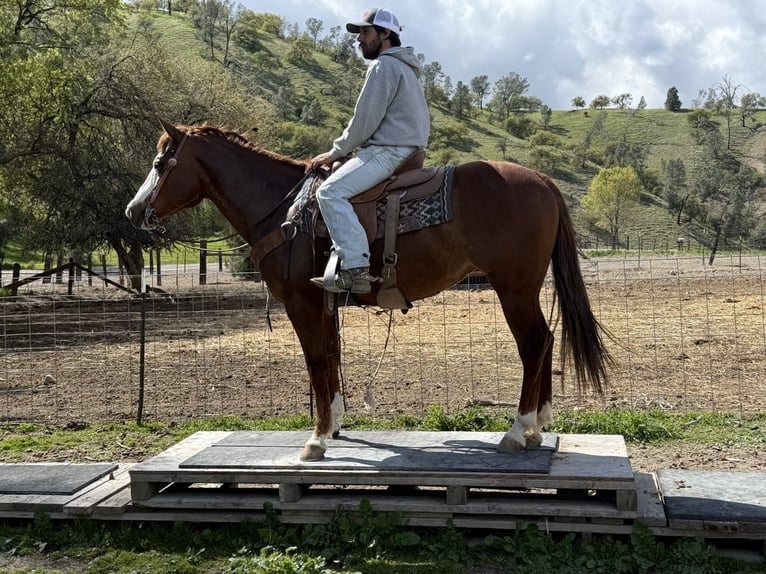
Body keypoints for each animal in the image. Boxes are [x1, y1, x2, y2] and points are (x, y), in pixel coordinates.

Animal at [126, 118, 611, 462]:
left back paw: (516, 430)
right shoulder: (325, 304)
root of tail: (542, 180)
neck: (284, 210)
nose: (133, 211)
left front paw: (317, 440)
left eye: (160, 164)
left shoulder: (302, 303)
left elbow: (317, 362)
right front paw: (336, 424)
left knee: (534, 344)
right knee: (546, 340)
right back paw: (537, 428)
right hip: (524, 288)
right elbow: (332, 358)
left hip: (513, 288)